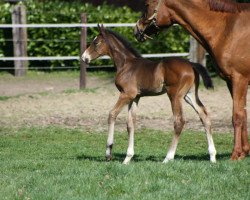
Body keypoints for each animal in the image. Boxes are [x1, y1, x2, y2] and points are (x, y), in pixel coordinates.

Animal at [83, 25, 216, 164]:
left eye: (96, 42)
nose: (84, 57)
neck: (126, 64)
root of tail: (191, 64)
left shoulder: (126, 94)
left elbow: (112, 114)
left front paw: (108, 152)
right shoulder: (135, 97)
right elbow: (130, 124)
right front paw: (128, 158)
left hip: (175, 95)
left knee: (179, 121)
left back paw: (168, 158)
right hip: (189, 95)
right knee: (204, 116)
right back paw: (212, 156)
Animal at [135, 0, 250, 160]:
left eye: (146, 5)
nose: (136, 29)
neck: (228, 29)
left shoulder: (239, 79)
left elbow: (237, 116)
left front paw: (235, 154)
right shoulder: (231, 82)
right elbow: (243, 114)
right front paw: (244, 152)